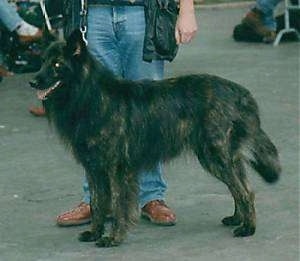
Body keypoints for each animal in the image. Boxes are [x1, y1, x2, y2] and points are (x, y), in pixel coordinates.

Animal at [29, 30, 280, 246]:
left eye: (57, 64)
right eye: (42, 61)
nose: (33, 81)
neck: (90, 97)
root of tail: (241, 93)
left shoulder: (116, 169)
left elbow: (117, 205)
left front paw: (114, 238)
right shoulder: (94, 168)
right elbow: (97, 204)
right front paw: (94, 232)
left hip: (216, 155)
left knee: (244, 191)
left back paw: (248, 228)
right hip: (221, 157)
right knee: (241, 187)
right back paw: (238, 219)